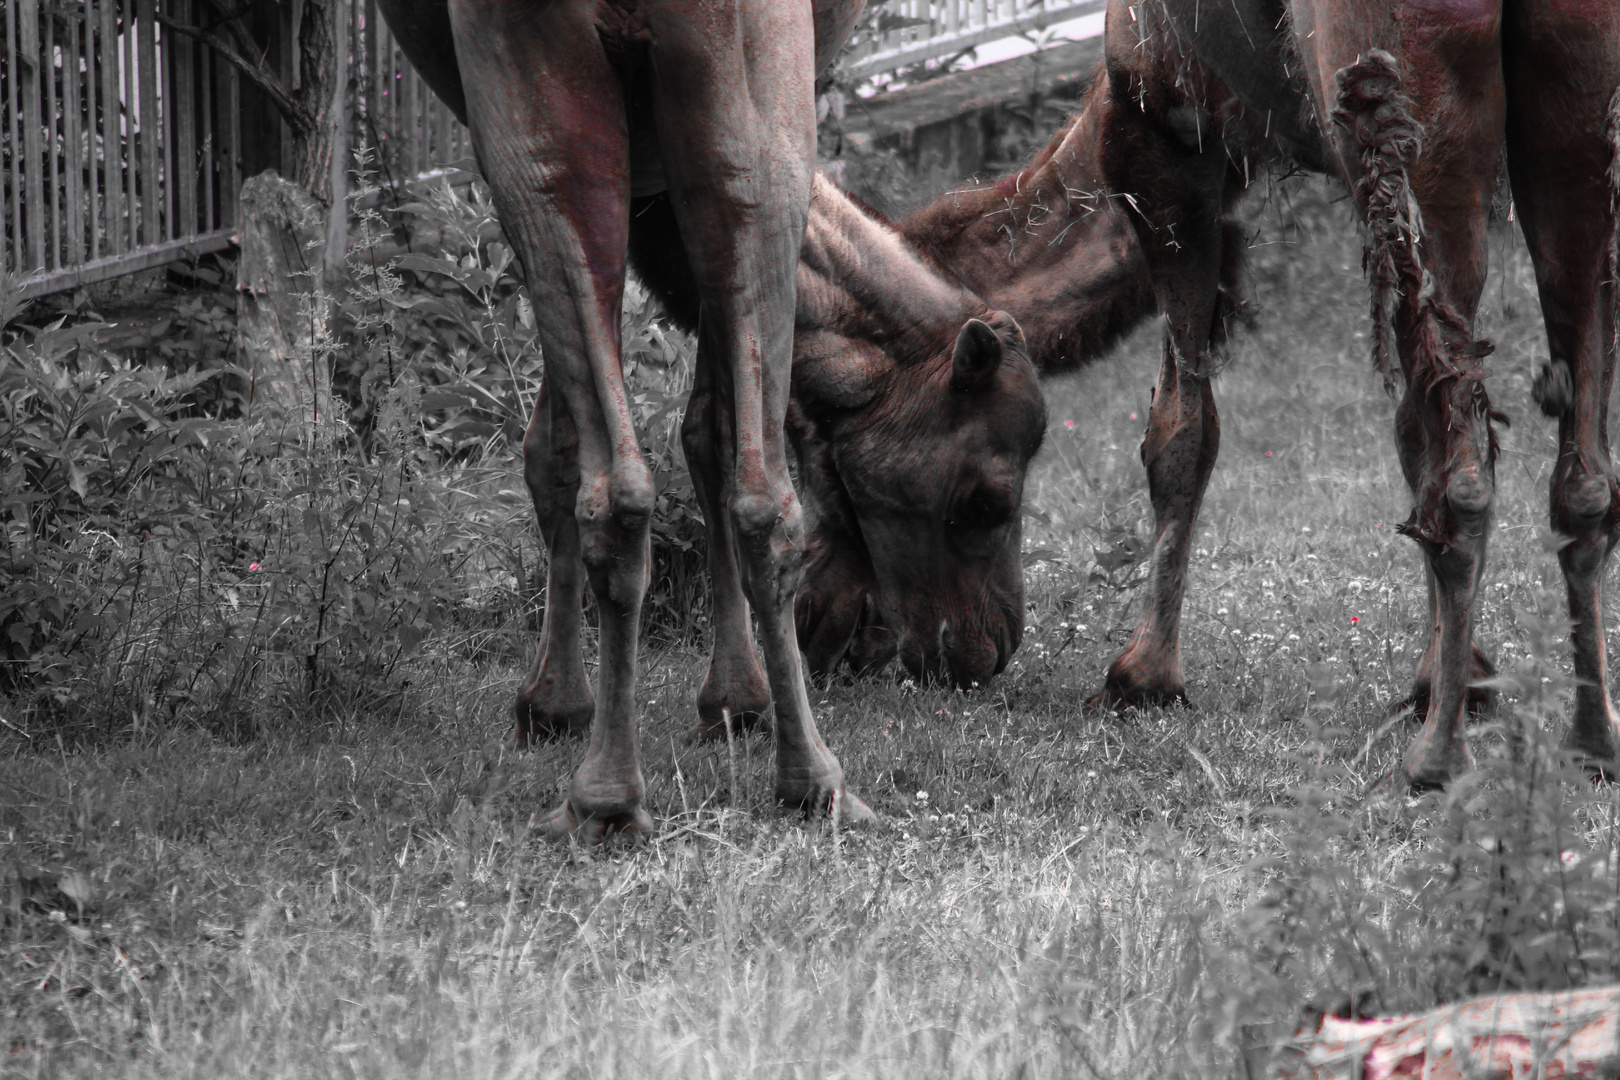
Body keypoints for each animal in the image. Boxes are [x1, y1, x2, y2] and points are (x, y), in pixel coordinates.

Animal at [370, 0, 1043, 835]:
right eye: (985, 499)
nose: (992, 646)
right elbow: (671, 437)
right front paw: (704, 701)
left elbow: (633, 439)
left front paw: (603, 703)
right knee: (711, 487)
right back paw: (786, 781)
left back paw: (630, 791)